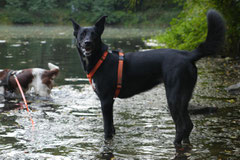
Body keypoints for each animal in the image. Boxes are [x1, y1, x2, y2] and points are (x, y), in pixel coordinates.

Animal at [69, 9, 225, 148]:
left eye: (94, 35)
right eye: (82, 35)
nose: (87, 43)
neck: (100, 59)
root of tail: (188, 55)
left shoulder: (106, 101)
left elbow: (107, 130)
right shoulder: (109, 102)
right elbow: (112, 128)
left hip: (173, 97)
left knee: (182, 126)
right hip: (184, 98)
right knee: (189, 125)